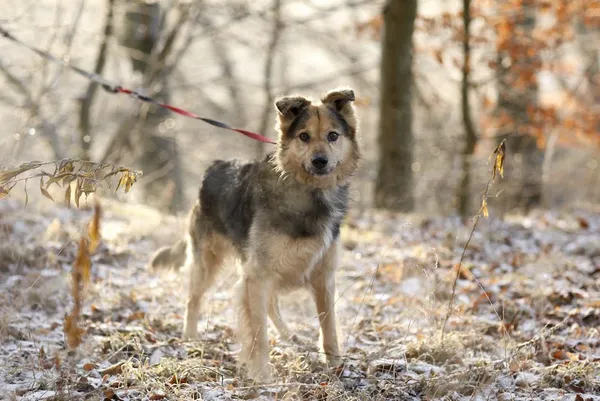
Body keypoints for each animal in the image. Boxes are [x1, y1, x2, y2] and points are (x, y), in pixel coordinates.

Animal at [149, 86, 360, 380]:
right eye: (304, 136)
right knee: (194, 299)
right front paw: (262, 375)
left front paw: (336, 366)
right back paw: (189, 337)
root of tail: (215, 165)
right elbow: (258, 333)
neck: (310, 194)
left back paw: (289, 336)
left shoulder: (323, 275)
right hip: (208, 262)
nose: (320, 161)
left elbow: (328, 326)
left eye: (333, 135)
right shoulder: (257, 274)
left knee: (272, 305)